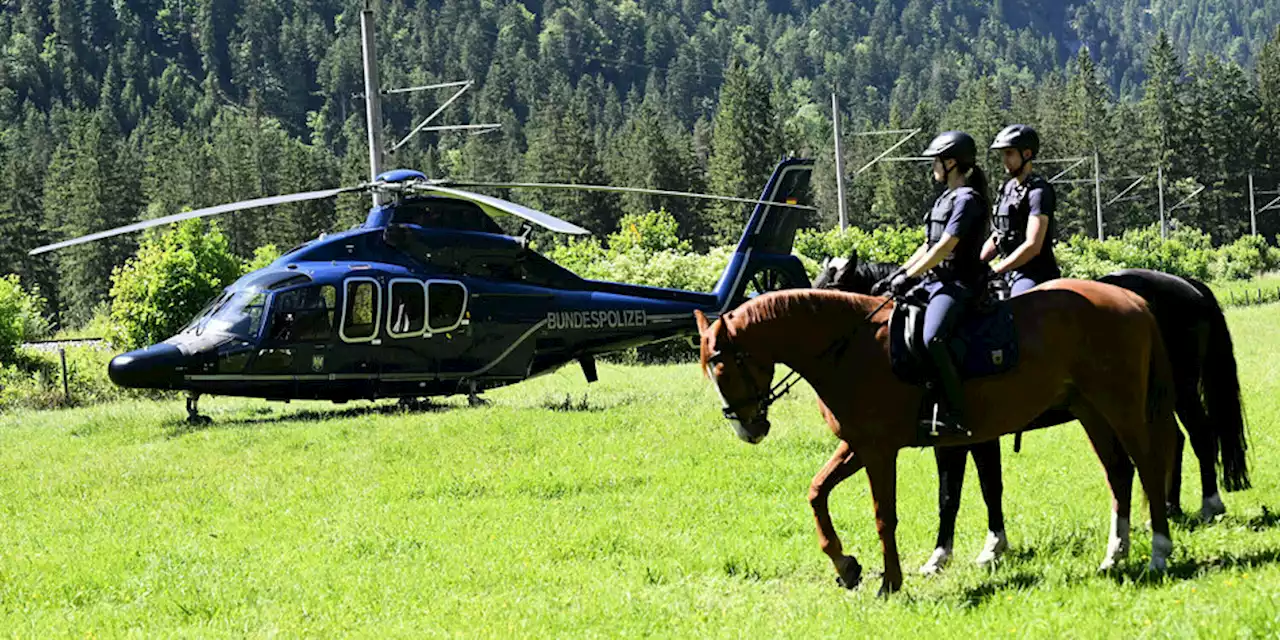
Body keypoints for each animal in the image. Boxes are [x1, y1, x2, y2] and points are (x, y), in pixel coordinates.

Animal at [701, 284, 1177, 593]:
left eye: (722, 366)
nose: (748, 429)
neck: (851, 347)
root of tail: (1132, 299)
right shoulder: (856, 446)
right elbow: (817, 492)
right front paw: (846, 565)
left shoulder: (878, 451)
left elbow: (884, 516)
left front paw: (890, 583)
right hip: (1089, 410)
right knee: (1119, 473)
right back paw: (1114, 555)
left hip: (1120, 408)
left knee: (1150, 468)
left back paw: (1159, 552)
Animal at [808, 254, 1249, 570]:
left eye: (828, 285)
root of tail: (1186, 285)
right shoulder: (958, 438)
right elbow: (959, 491)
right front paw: (954, 553)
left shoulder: (972, 435)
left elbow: (977, 489)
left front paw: (987, 548)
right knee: (1172, 441)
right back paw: (1170, 509)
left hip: (1178, 392)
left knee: (1198, 436)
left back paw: (1207, 505)